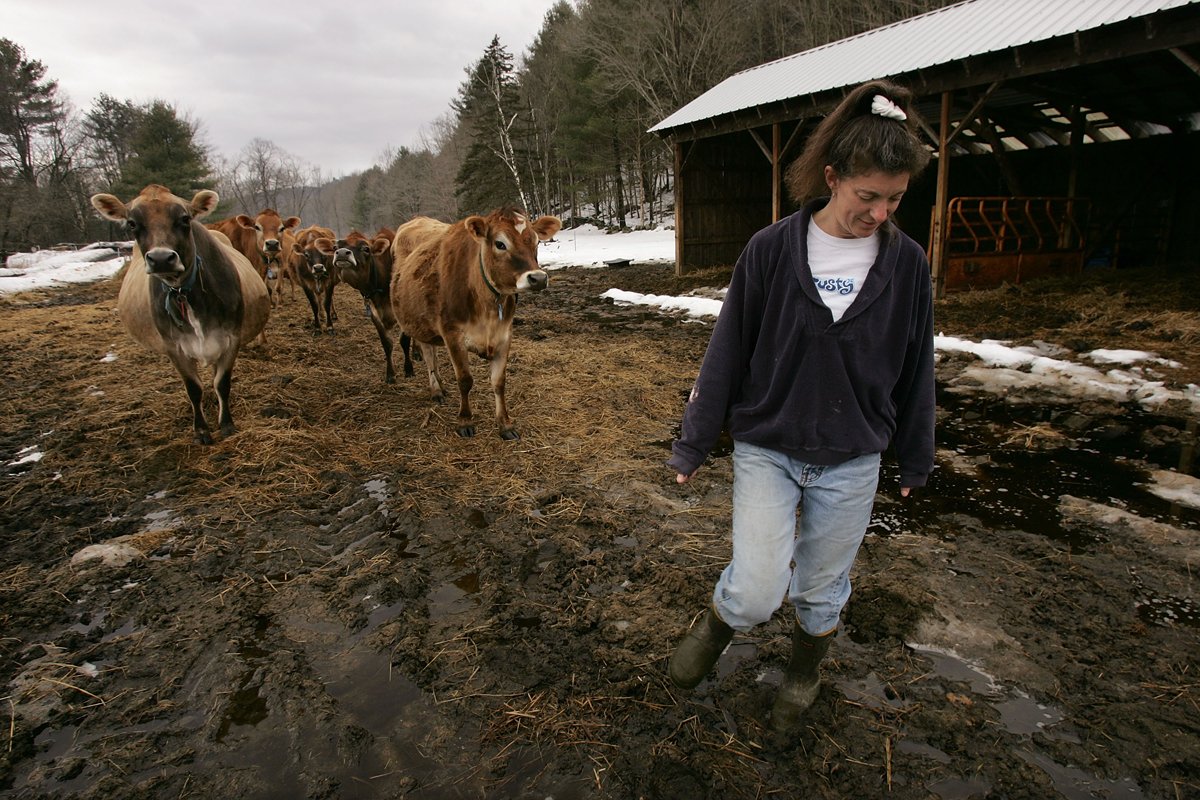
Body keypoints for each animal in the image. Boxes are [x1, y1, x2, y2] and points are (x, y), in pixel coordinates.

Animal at [90, 185, 270, 448]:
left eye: (185, 219)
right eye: (132, 223)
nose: (161, 259)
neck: (184, 293)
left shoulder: (231, 338)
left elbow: (222, 383)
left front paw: (226, 424)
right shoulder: (173, 347)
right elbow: (193, 389)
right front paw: (201, 430)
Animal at [393, 209, 561, 441]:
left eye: (536, 242)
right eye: (500, 244)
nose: (538, 278)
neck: (487, 307)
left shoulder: (504, 335)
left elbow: (499, 382)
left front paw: (505, 424)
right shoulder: (452, 334)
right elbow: (465, 380)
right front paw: (465, 421)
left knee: (432, 355)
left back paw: (440, 386)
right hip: (418, 322)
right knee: (428, 357)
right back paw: (436, 390)